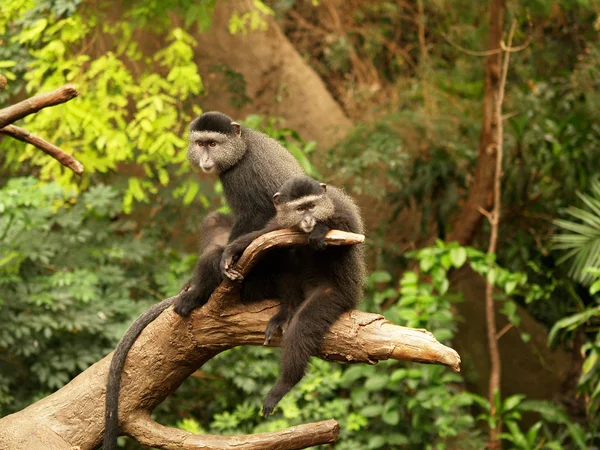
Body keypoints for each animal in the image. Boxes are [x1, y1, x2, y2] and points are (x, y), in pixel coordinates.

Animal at [102, 112, 304, 450]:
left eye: (213, 144)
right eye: (200, 144)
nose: (206, 158)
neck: (241, 146)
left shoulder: (241, 176)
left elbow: (258, 215)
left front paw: (222, 263)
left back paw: (199, 293)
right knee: (213, 220)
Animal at [218, 175, 364, 414]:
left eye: (311, 206)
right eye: (299, 209)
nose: (308, 221)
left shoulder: (340, 210)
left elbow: (349, 234)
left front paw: (320, 229)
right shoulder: (281, 221)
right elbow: (265, 235)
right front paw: (233, 250)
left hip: (337, 296)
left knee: (303, 325)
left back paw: (286, 383)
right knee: (283, 255)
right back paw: (286, 311)